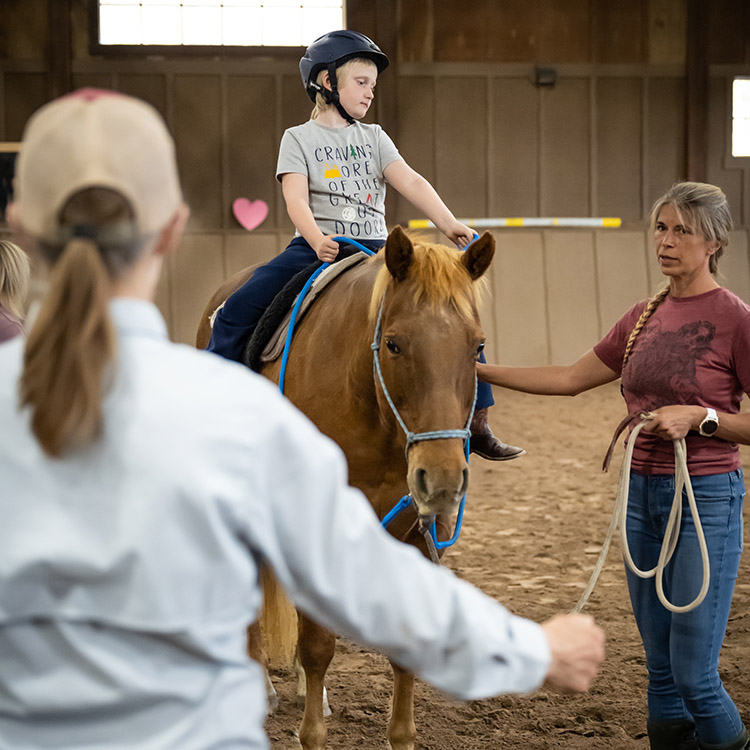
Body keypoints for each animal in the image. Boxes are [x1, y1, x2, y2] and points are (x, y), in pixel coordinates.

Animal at [197, 229, 496, 750]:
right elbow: (317, 646)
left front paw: (401, 737)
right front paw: (312, 734)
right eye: (393, 344)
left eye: (477, 345)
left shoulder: (418, 533)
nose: (440, 478)